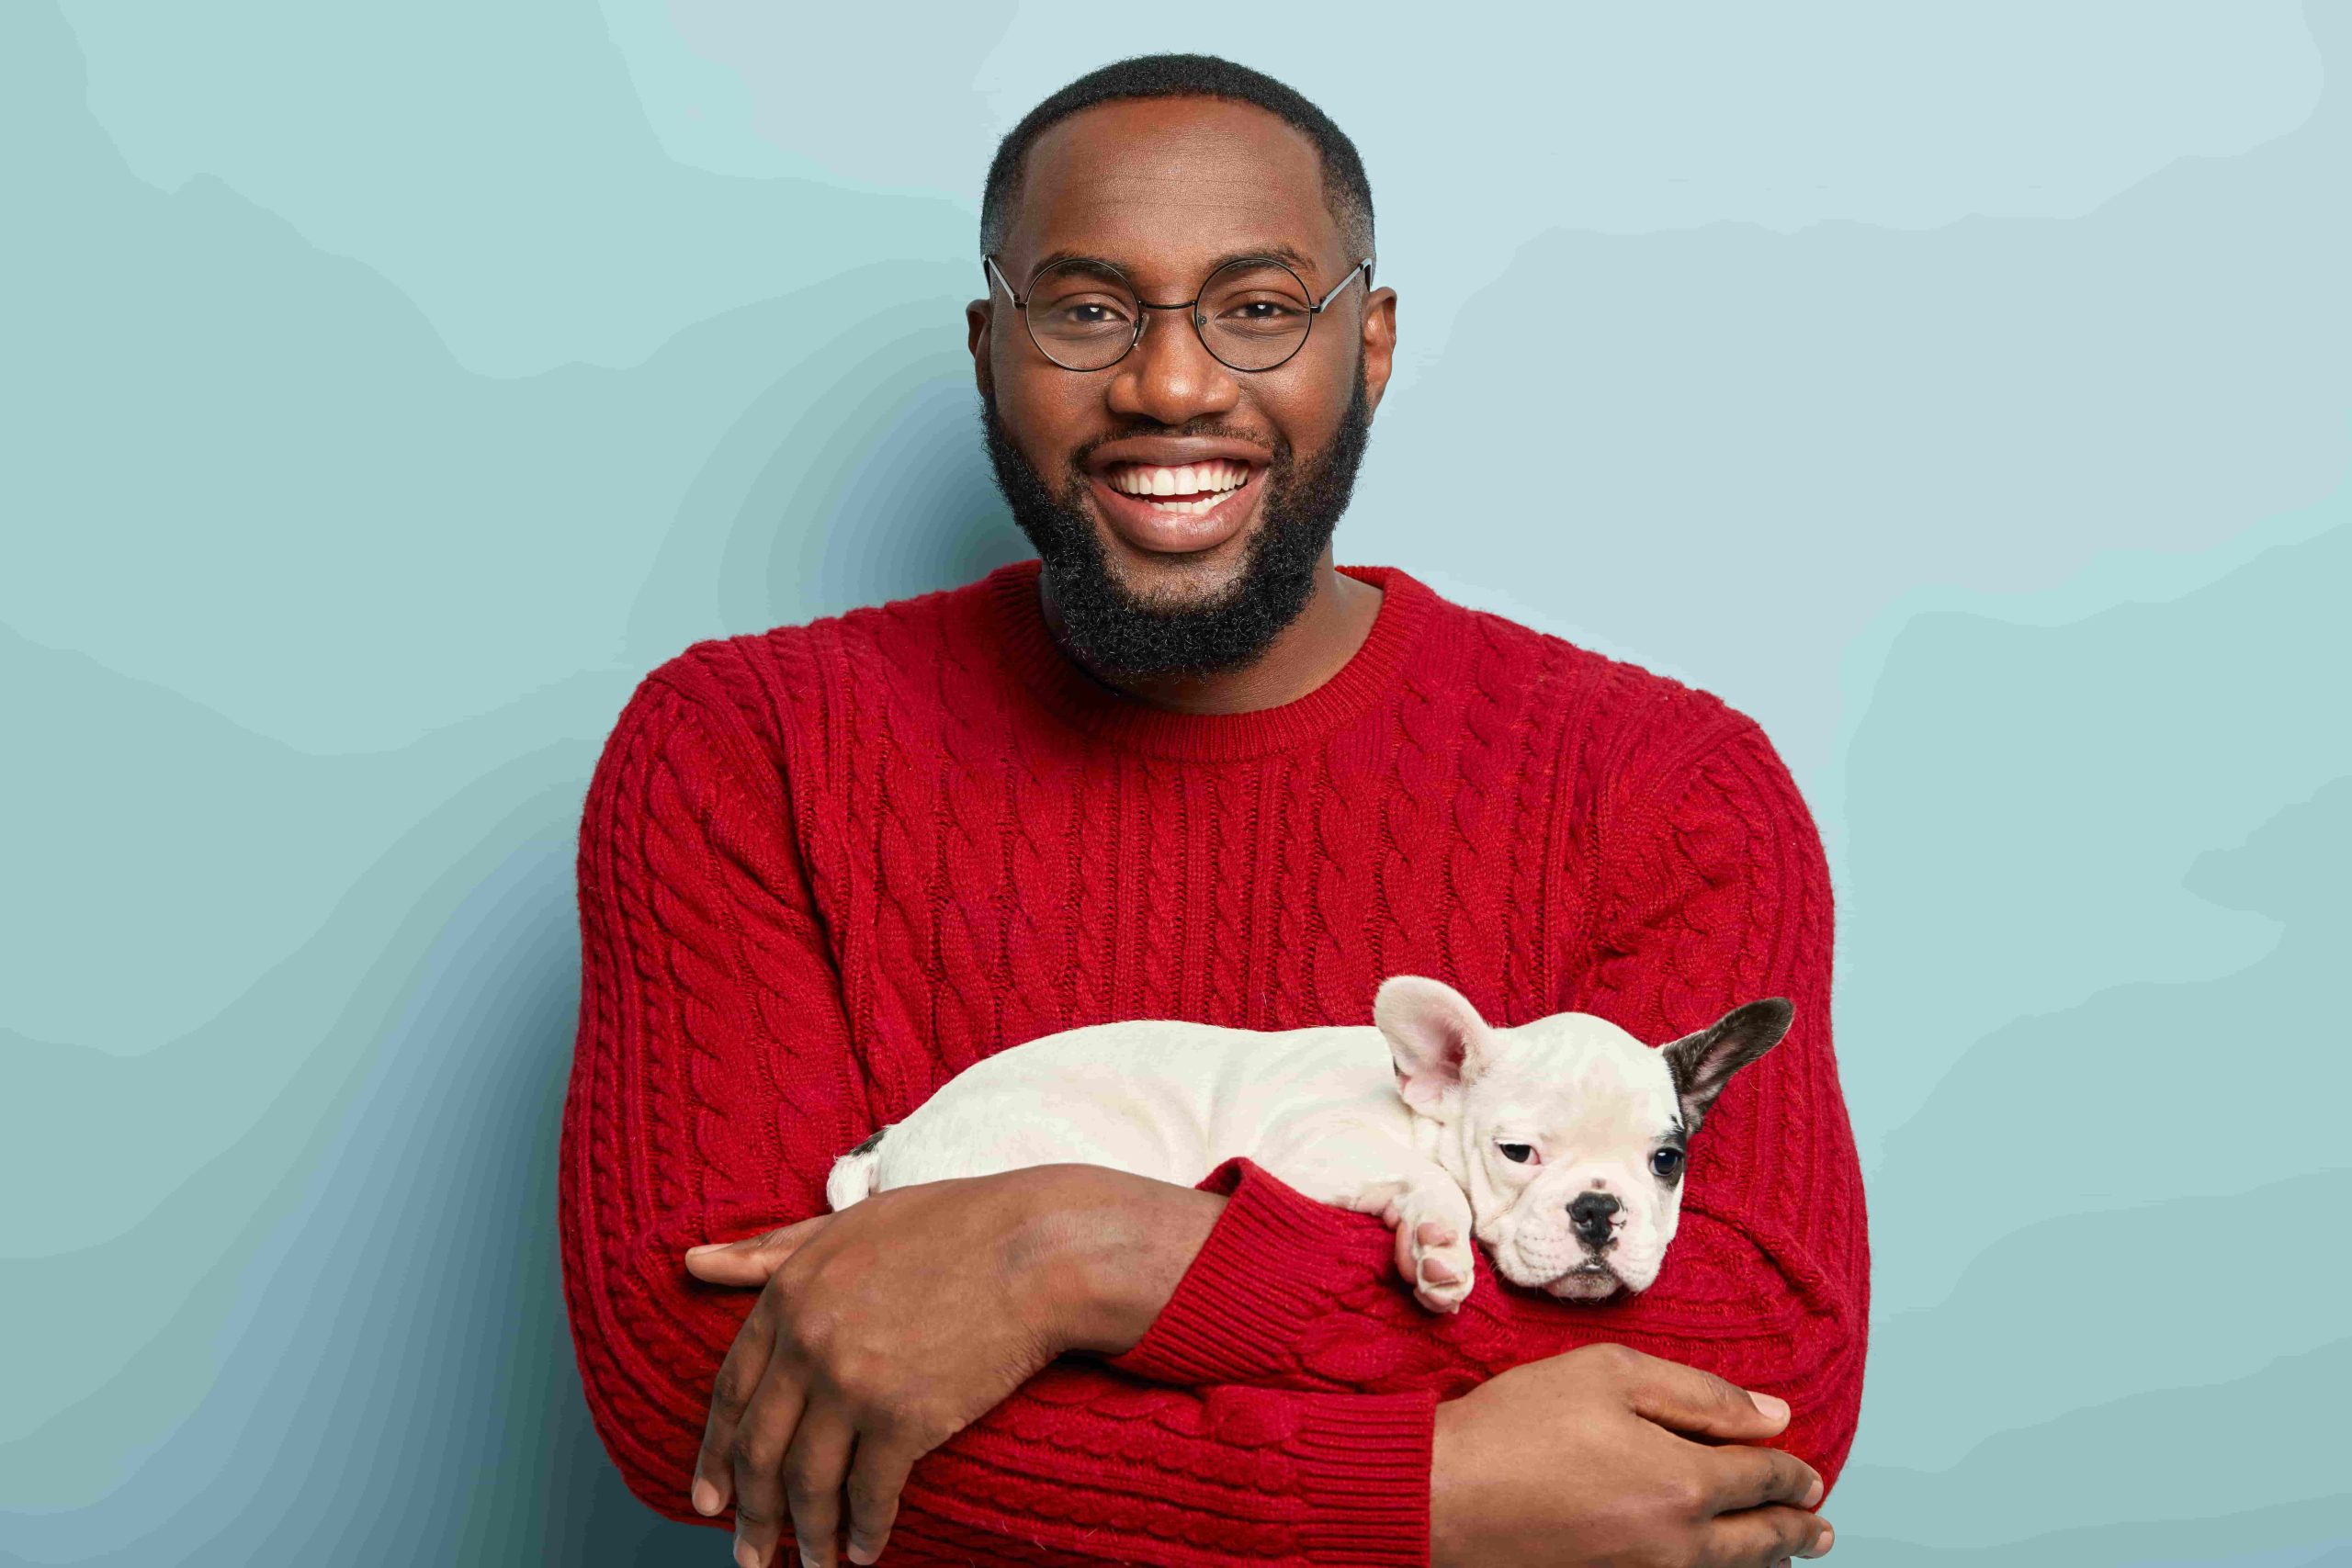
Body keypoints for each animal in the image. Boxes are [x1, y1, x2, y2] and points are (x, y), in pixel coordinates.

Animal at [823, 973, 1778, 1306]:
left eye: (1666, 1162)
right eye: (1517, 1154)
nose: (1597, 1212)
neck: (1419, 1104)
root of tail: (894, 1139)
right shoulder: (1315, 1147)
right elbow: (1432, 1185)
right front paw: (1438, 1243)